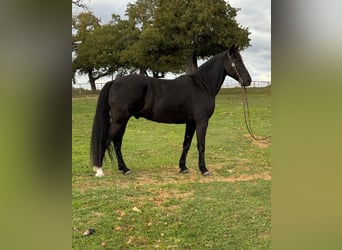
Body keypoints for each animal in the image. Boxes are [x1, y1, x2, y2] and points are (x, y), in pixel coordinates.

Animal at [91, 45, 251, 178]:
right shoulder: (201, 121)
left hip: (122, 121)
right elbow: (201, 145)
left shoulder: (191, 122)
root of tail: (114, 82)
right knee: (107, 140)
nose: (248, 80)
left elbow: (186, 144)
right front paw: (204, 169)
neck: (202, 85)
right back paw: (99, 170)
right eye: (236, 60)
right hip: (119, 120)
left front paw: (183, 167)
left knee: (117, 142)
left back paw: (124, 169)